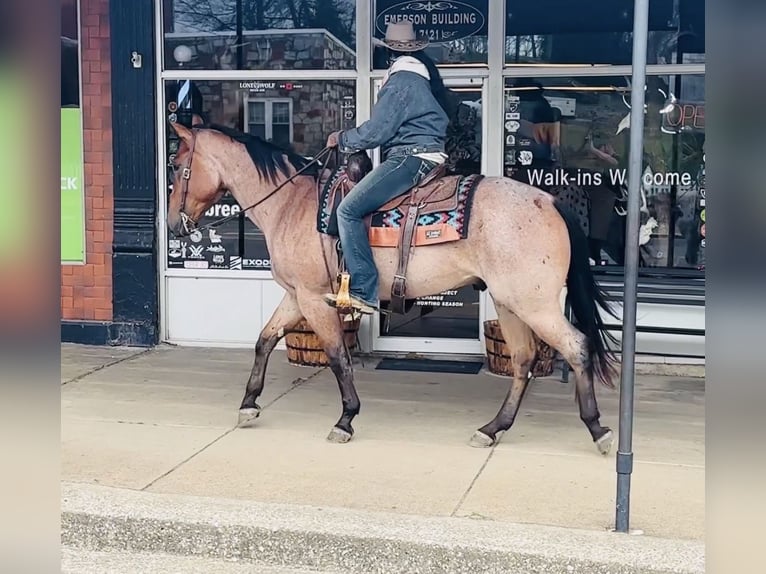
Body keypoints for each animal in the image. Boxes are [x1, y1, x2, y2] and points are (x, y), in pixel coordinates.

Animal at [166, 121, 620, 455]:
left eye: (175, 165)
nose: (172, 225)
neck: (290, 206)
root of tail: (549, 202)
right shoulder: (297, 296)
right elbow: (264, 340)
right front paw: (249, 404)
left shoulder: (314, 299)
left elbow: (337, 357)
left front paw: (346, 419)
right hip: (510, 303)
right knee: (524, 359)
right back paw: (493, 427)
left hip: (534, 303)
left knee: (576, 347)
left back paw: (598, 429)